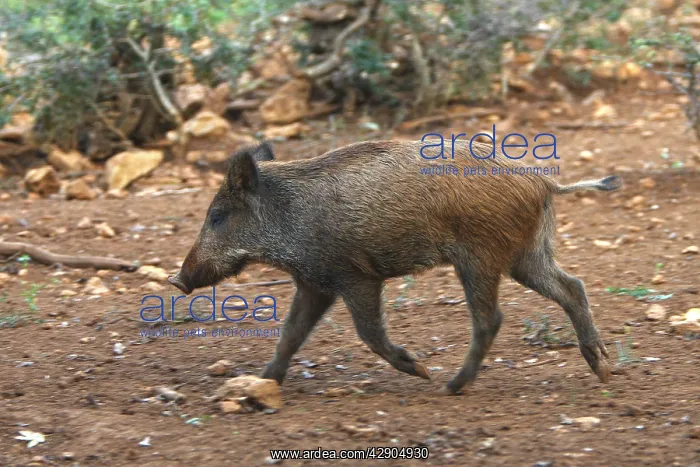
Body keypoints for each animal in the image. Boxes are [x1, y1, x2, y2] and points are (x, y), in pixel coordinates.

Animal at [168, 140, 621, 395]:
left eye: (218, 217)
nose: (177, 280)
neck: (289, 216)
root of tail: (543, 183)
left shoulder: (356, 276)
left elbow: (368, 333)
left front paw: (418, 369)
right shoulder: (315, 283)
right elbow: (290, 335)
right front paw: (263, 382)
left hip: (481, 258)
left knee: (491, 318)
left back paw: (449, 386)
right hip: (525, 255)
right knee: (572, 287)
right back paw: (602, 371)